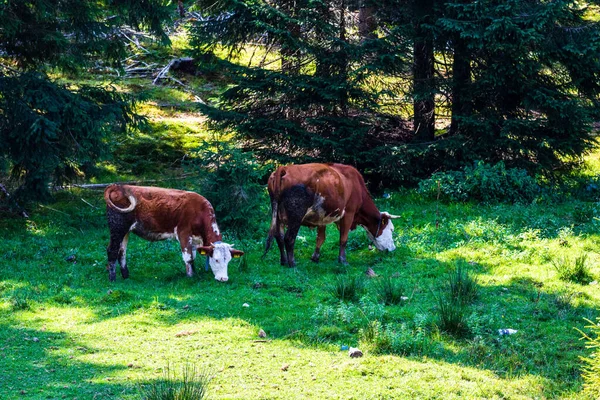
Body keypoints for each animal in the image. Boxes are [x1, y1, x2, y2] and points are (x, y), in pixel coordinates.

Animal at [104, 184, 243, 282]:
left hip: (125, 231)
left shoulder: (194, 239)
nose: (224, 279)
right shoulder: (183, 233)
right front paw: (190, 277)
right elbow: (188, 257)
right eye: (216, 260)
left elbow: (193, 256)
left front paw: (194, 274)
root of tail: (119, 186)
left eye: (229, 260)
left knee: (122, 251)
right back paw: (112, 279)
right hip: (117, 227)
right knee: (112, 250)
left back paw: (126, 276)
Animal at [266, 161, 398, 268]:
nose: (393, 249)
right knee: (289, 238)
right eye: (391, 229)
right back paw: (292, 264)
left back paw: (283, 261)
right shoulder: (349, 213)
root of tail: (284, 168)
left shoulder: (321, 216)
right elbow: (343, 239)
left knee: (279, 236)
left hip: (278, 215)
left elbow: (320, 238)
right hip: (296, 217)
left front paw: (315, 257)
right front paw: (343, 261)